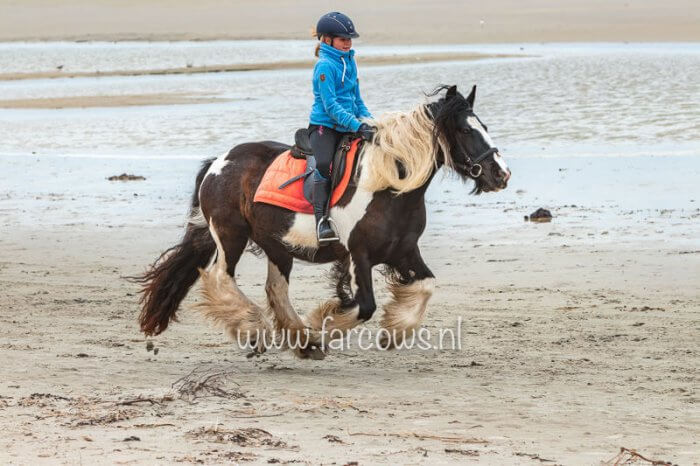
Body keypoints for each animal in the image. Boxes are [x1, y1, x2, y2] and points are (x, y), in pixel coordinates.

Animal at [135, 85, 508, 358]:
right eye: (465, 130)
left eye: (486, 128)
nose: (501, 174)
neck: (389, 187)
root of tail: (218, 162)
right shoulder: (359, 256)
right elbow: (365, 306)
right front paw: (322, 330)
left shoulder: (404, 251)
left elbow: (426, 285)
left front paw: (393, 331)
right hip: (230, 235)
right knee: (219, 277)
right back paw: (255, 331)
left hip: (276, 245)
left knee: (275, 288)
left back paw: (298, 339)